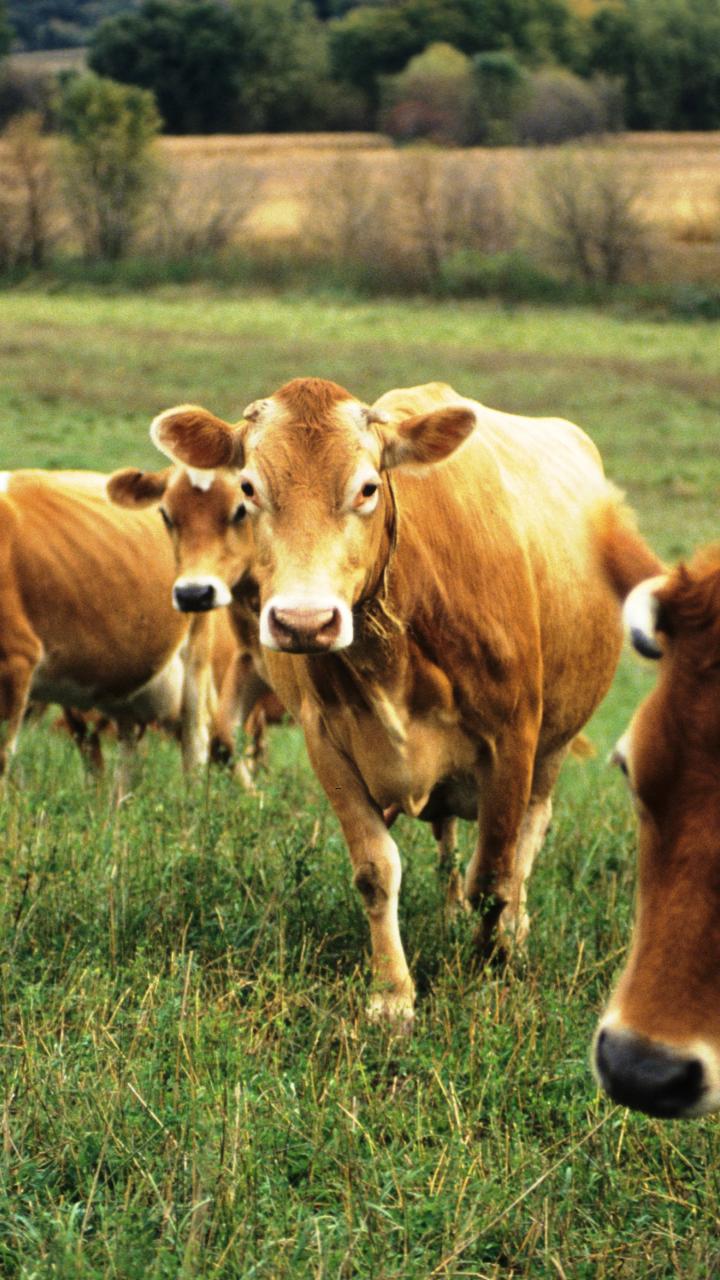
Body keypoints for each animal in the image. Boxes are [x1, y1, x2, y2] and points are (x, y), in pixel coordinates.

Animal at [142, 378, 657, 1025]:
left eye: (366, 487)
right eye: (250, 490)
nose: (303, 621)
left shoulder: (512, 739)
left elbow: (494, 871)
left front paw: (490, 965)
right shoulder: (328, 743)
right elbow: (376, 870)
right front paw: (392, 995)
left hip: (554, 744)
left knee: (529, 835)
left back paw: (515, 928)